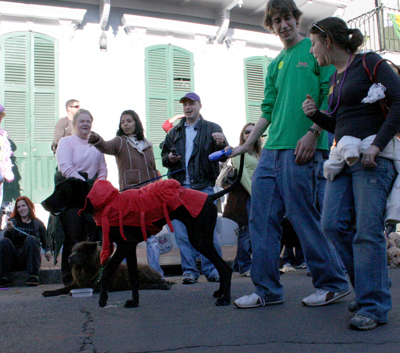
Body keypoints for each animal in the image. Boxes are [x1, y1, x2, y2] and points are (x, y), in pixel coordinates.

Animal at [41, 160, 244, 308]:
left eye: (60, 190)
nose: (42, 203)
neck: (105, 202)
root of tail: (209, 197)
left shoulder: (124, 245)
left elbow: (106, 271)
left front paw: (103, 299)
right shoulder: (129, 248)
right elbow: (133, 277)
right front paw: (134, 301)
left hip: (199, 239)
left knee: (225, 267)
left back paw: (225, 299)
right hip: (202, 239)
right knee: (221, 266)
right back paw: (220, 293)